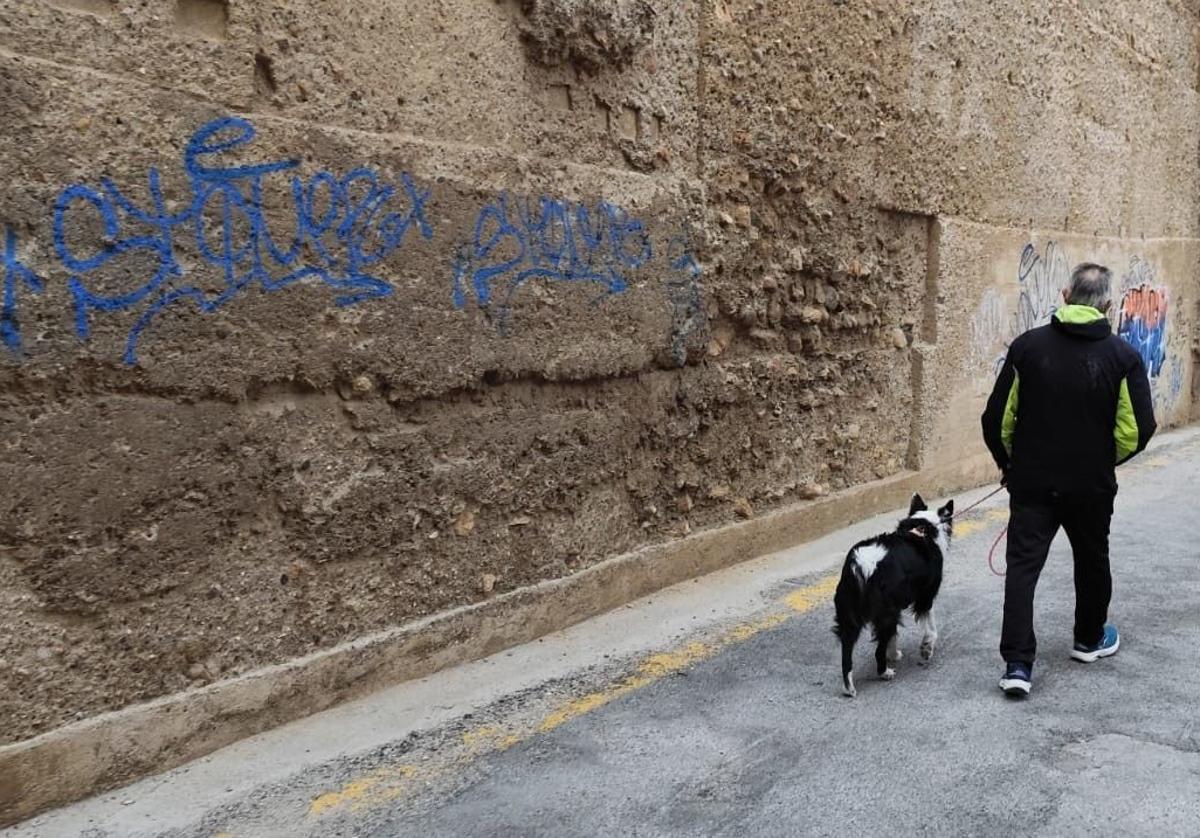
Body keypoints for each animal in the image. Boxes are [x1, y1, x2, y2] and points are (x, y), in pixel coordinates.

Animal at [835, 492, 955, 696]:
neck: (923, 527)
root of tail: (862, 565)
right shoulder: (925, 597)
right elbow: (932, 629)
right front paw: (926, 649)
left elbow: (894, 636)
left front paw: (893, 654)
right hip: (885, 613)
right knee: (877, 650)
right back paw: (884, 673)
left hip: (850, 615)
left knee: (846, 654)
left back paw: (848, 688)